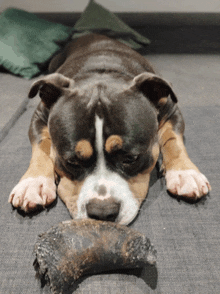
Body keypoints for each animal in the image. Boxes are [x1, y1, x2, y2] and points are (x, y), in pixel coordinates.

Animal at [9, 33, 211, 224]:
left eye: (131, 158)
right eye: (72, 162)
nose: (102, 212)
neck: (102, 73)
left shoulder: (171, 109)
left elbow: (173, 139)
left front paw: (184, 173)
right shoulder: (39, 115)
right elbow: (42, 146)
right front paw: (34, 182)